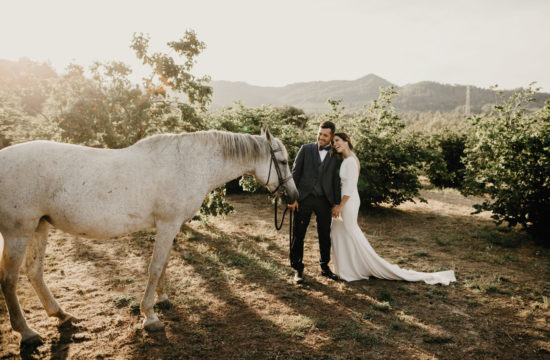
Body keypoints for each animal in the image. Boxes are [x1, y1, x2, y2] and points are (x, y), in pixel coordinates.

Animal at [0, 129, 298, 344]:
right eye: (283, 162)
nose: (294, 197)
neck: (189, 164)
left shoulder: (170, 226)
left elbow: (164, 264)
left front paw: (162, 298)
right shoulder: (167, 224)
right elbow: (155, 267)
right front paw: (150, 315)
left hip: (39, 227)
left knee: (35, 273)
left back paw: (60, 314)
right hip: (18, 232)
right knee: (9, 281)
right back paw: (27, 333)